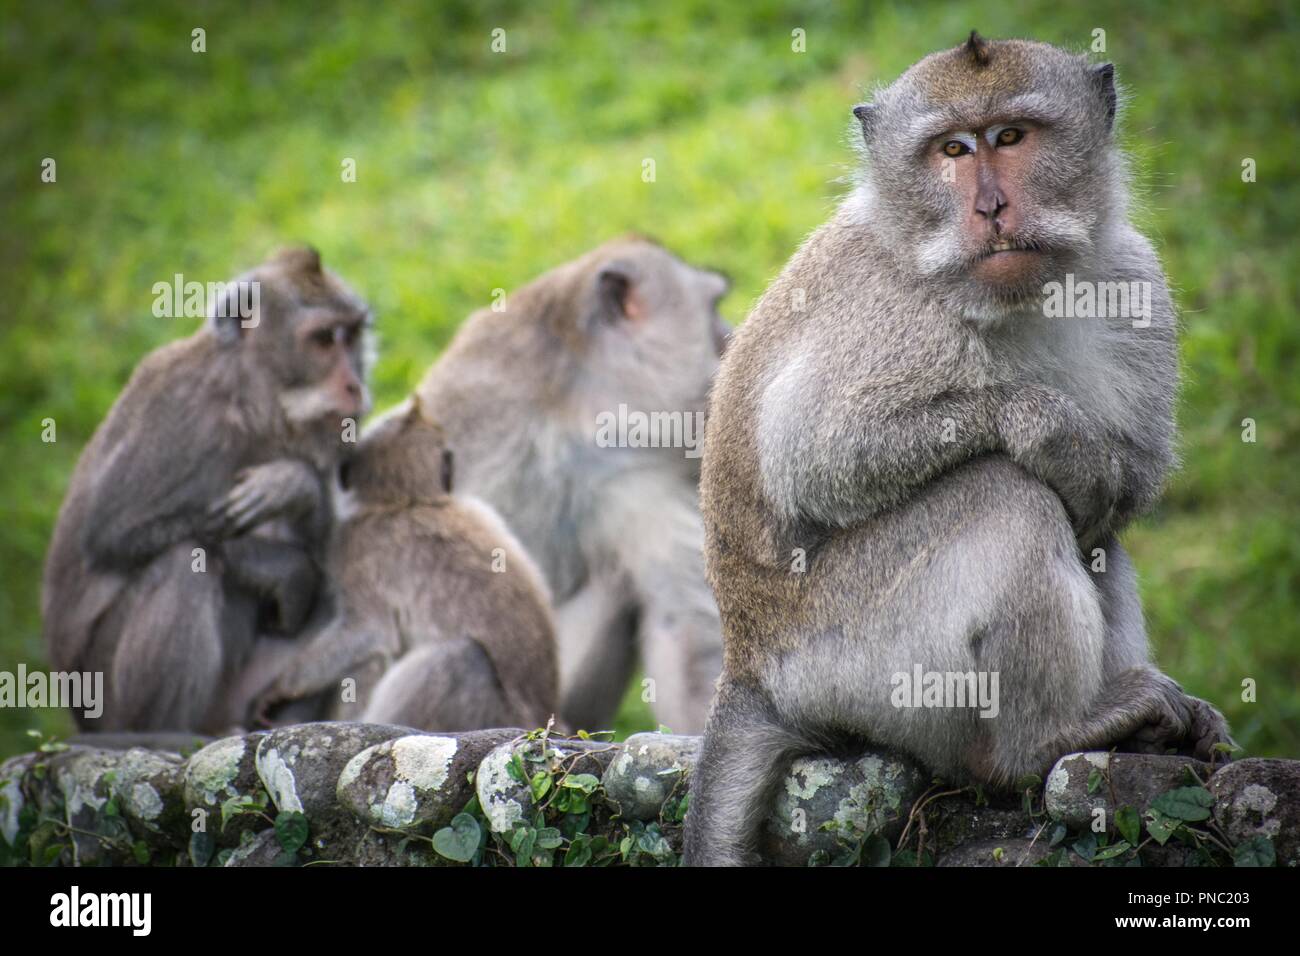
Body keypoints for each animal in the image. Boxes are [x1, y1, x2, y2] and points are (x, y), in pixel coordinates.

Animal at [44, 247, 371, 733]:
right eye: (322, 340)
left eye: (350, 337)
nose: (355, 385)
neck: (253, 402)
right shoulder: (179, 408)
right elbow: (112, 534)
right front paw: (284, 567)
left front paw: (293, 485)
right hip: (106, 698)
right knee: (185, 562)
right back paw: (161, 732)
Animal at [248, 395, 559, 733]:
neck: (408, 501)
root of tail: (538, 721)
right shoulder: (480, 508)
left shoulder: (355, 544)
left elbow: (368, 630)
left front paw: (280, 687)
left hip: (489, 713)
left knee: (457, 658)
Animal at [686, 35, 1232, 868]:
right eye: (952, 150)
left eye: (1009, 137)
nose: (990, 208)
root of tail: (749, 666)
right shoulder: (894, 317)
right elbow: (815, 455)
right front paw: (1049, 430)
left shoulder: (1135, 278)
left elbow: (1132, 481)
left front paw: (1094, 466)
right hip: (853, 664)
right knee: (1007, 496)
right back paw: (1045, 737)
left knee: (1093, 538)